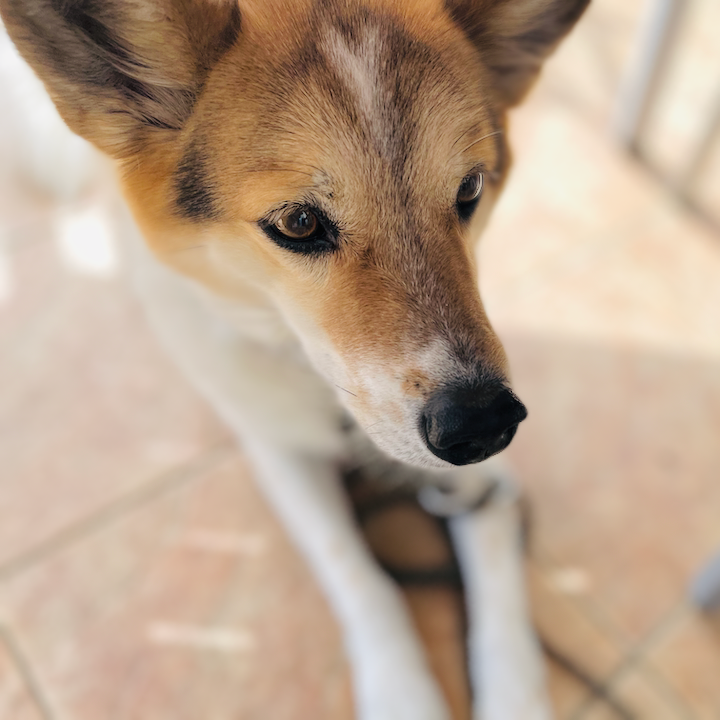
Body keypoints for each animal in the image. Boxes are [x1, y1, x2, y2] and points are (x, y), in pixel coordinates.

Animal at [0, 0, 589, 717]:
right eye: (299, 224)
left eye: (470, 188)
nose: (481, 425)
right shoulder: (276, 449)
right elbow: (357, 572)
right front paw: (402, 690)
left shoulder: (486, 477)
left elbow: (497, 561)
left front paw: (515, 696)